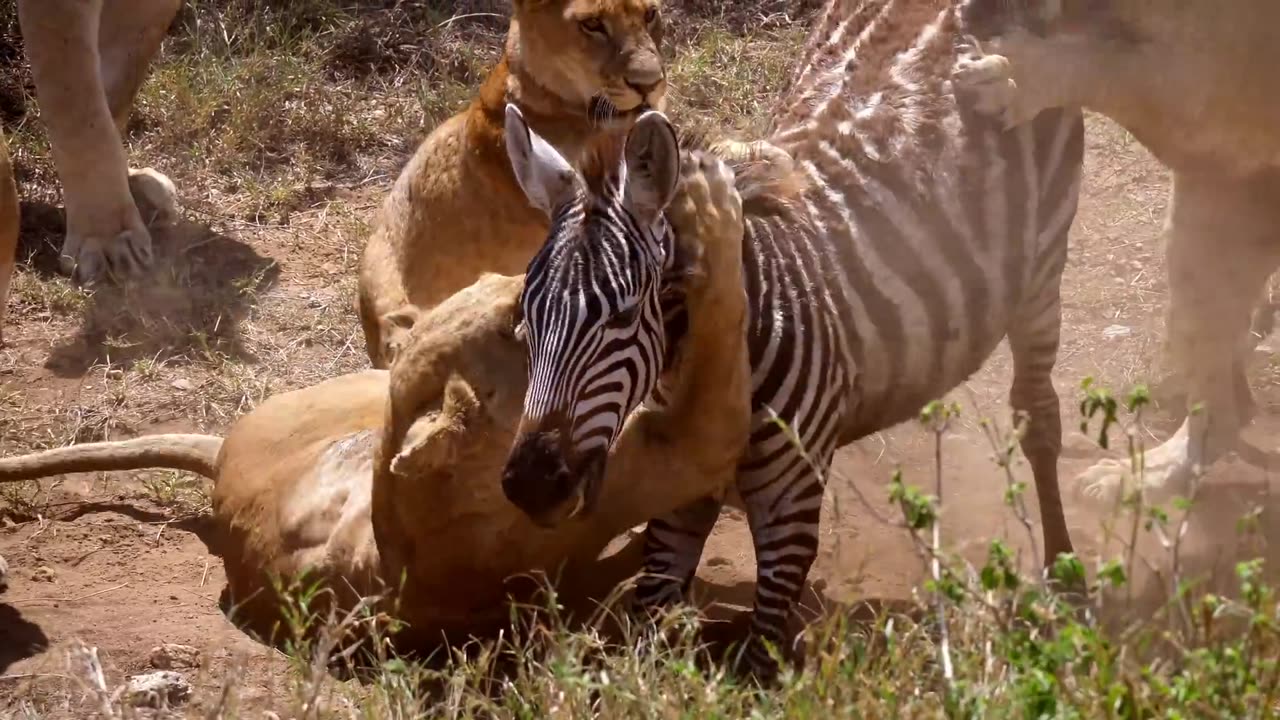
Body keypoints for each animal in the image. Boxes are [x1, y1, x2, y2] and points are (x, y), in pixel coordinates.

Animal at [0, 152, 747, 645]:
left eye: (494, 286)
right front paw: (710, 200)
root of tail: (224, 453)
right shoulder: (654, 458)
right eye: (520, 325)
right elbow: (717, 377)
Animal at [499, 0, 1080, 671]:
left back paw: (1066, 575)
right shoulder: (676, 499)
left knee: (1038, 414)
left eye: (621, 316)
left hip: (1043, 263)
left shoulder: (791, 510)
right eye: (526, 317)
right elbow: (651, 632)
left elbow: (759, 659)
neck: (711, 368)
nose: (531, 485)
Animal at [957, 0, 1280, 502]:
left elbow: (1108, 66)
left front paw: (1013, 78)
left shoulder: (1223, 86)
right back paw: (1141, 477)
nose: (966, 15)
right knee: (1220, 408)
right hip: (1202, 236)